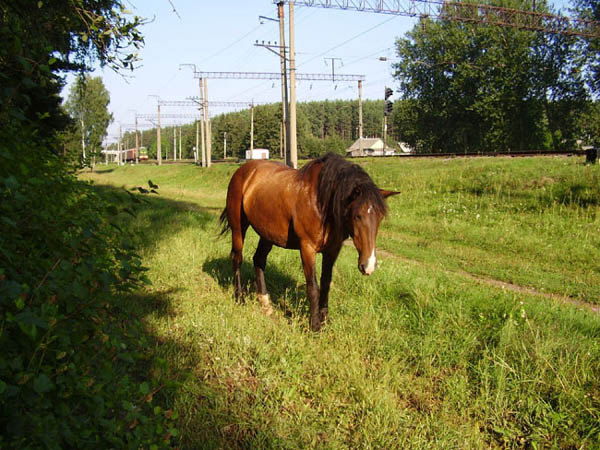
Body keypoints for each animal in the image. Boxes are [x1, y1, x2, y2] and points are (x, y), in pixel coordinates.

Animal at [220, 152, 398, 330]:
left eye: (380, 217)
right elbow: (313, 287)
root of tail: (244, 171)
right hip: (238, 227)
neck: (321, 202)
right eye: (358, 216)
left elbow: (326, 284)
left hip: (267, 234)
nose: (368, 266)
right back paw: (239, 298)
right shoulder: (307, 248)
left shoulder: (332, 250)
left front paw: (325, 319)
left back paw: (265, 304)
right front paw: (315, 326)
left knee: (259, 260)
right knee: (237, 258)